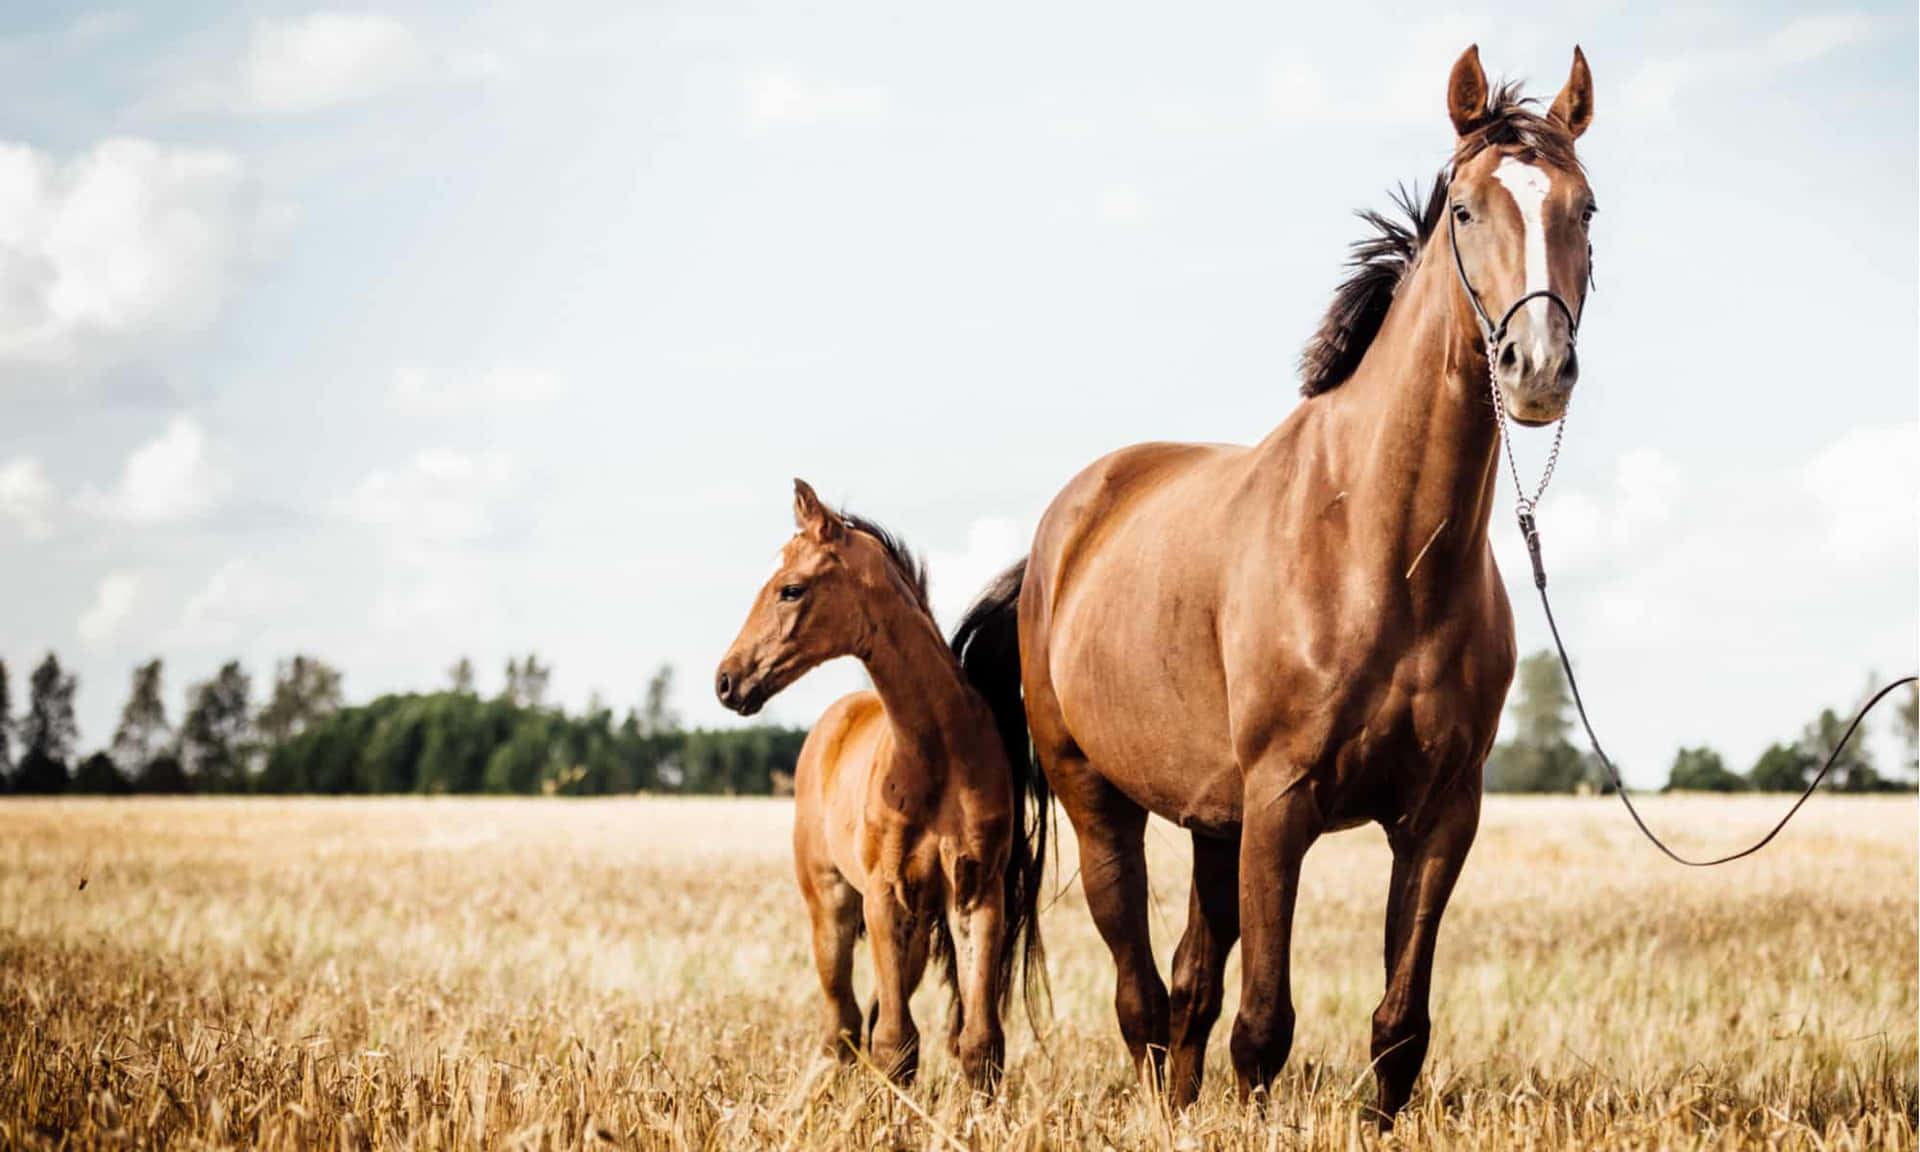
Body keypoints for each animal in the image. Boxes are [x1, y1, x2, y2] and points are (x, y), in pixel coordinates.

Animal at [714, 479, 1049, 1088]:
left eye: (791, 589)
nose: (727, 681)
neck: (936, 756)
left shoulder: (975, 895)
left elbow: (978, 1042)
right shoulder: (884, 897)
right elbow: (896, 1044)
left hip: (913, 930)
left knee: (865, 1018)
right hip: (832, 906)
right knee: (842, 1024)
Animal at [952, 46, 1597, 1118]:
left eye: (1585, 209)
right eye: (1466, 209)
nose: (1536, 367)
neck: (1380, 550)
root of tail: (1055, 541)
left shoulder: (1441, 816)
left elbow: (1397, 1027)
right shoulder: (1284, 802)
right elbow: (1264, 1027)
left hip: (1217, 820)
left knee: (1185, 985)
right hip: (1102, 802)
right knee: (1139, 989)